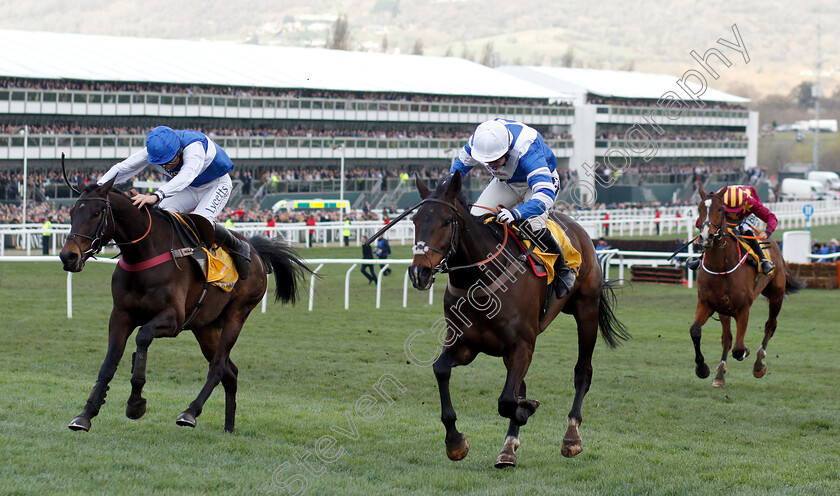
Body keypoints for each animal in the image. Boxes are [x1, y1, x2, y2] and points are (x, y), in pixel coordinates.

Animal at [59, 177, 310, 430]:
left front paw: (136, 402)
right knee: (231, 372)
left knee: (218, 367)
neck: (144, 254)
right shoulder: (121, 315)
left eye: (96, 213)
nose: (68, 256)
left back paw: (190, 412)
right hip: (206, 327)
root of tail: (256, 251)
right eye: (71, 212)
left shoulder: (173, 319)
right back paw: (228, 427)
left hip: (237, 314)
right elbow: (109, 362)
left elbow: (143, 336)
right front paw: (86, 413)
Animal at [406, 172, 632, 466]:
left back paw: (571, 436)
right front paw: (455, 442)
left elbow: (506, 400)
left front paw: (527, 410)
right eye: (415, 220)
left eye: (446, 221)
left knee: (583, 371)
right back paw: (508, 448)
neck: (480, 279)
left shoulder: (522, 345)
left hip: (587, 309)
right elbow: (442, 370)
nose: (419, 273)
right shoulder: (465, 344)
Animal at [688, 186, 808, 388]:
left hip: (776, 295)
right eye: (699, 209)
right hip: (724, 308)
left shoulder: (743, 308)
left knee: (770, 325)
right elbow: (697, 331)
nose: (706, 237)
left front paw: (746, 352)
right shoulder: (708, 303)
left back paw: (759, 364)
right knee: (727, 338)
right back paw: (719, 375)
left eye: (720, 209)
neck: (721, 266)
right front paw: (703, 368)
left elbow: (738, 349)